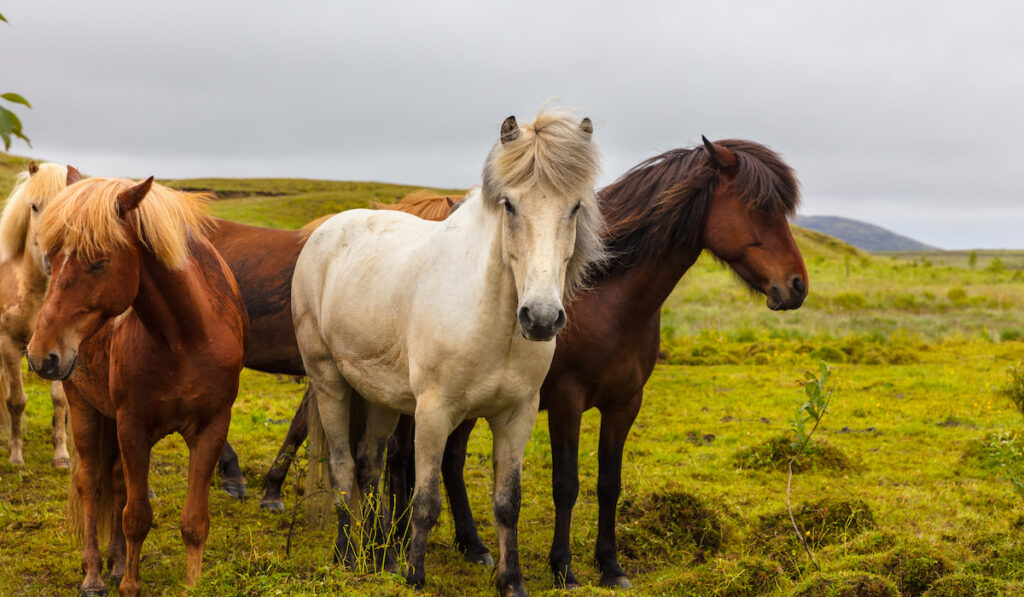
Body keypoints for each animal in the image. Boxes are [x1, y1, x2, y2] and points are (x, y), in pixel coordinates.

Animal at [26, 168, 247, 597]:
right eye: (53, 258)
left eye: (98, 263)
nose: (42, 355)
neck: (186, 338)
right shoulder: (133, 426)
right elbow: (136, 515)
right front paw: (130, 583)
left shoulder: (212, 428)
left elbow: (194, 520)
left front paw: (192, 583)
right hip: (85, 409)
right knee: (92, 483)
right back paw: (95, 574)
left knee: (114, 482)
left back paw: (114, 563)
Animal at [292, 108, 602, 597]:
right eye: (509, 205)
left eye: (574, 207)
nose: (540, 317)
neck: (491, 318)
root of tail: (327, 229)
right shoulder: (434, 413)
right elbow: (425, 500)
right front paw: (415, 577)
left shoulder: (516, 416)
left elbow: (507, 503)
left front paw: (511, 582)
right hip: (328, 380)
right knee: (342, 466)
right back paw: (346, 555)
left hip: (380, 395)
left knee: (368, 464)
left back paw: (380, 558)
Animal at [387, 138, 811, 589]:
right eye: (760, 207)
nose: (797, 285)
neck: (606, 298)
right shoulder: (566, 403)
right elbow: (566, 485)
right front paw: (564, 569)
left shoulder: (624, 403)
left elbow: (609, 484)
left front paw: (610, 566)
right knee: (400, 456)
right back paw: (394, 544)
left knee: (450, 461)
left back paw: (473, 546)